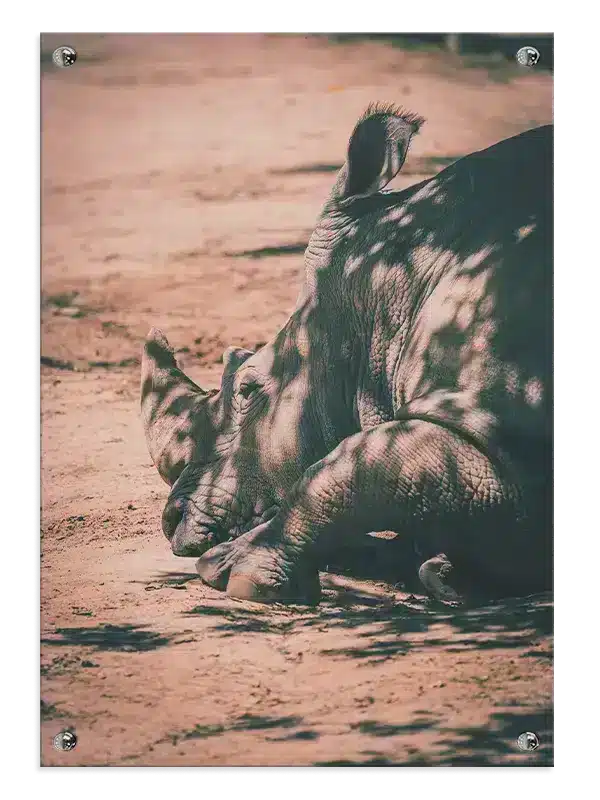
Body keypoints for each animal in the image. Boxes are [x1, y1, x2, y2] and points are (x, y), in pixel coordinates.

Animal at [141, 103, 554, 605]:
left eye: (248, 388)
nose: (171, 521)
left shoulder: (489, 415)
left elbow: (359, 467)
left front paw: (230, 568)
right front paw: (443, 571)